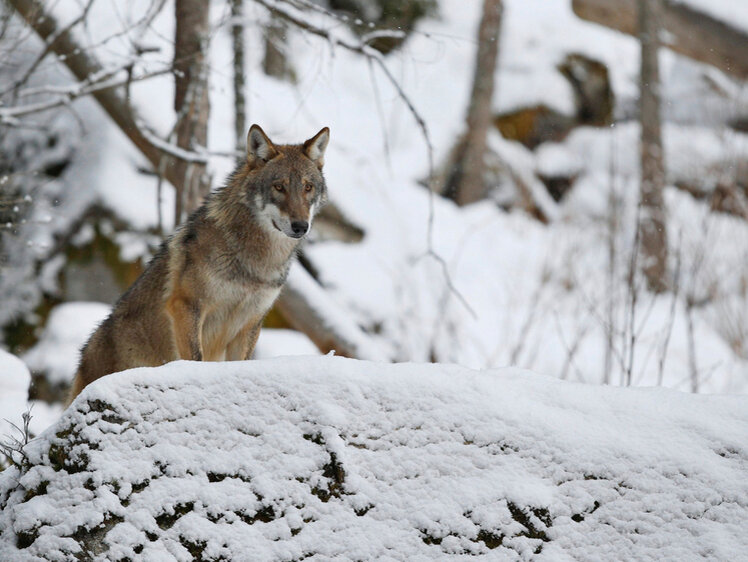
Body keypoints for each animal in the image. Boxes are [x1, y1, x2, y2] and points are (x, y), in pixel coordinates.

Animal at [67, 124, 330, 400]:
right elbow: (195, 358)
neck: (255, 261)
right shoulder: (187, 305)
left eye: (308, 187)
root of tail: (81, 361)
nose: (300, 226)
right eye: (279, 187)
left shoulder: (249, 323)